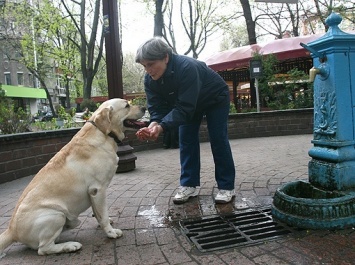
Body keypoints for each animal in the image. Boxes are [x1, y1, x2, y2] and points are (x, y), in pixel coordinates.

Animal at [0, 97, 146, 256]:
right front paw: (110, 232)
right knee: (43, 249)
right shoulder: (98, 189)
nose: (145, 108)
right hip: (56, 214)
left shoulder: (93, 193)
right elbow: (103, 215)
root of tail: (11, 231)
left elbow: (98, 213)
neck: (103, 133)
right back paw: (70, 245)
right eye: (127, 106)